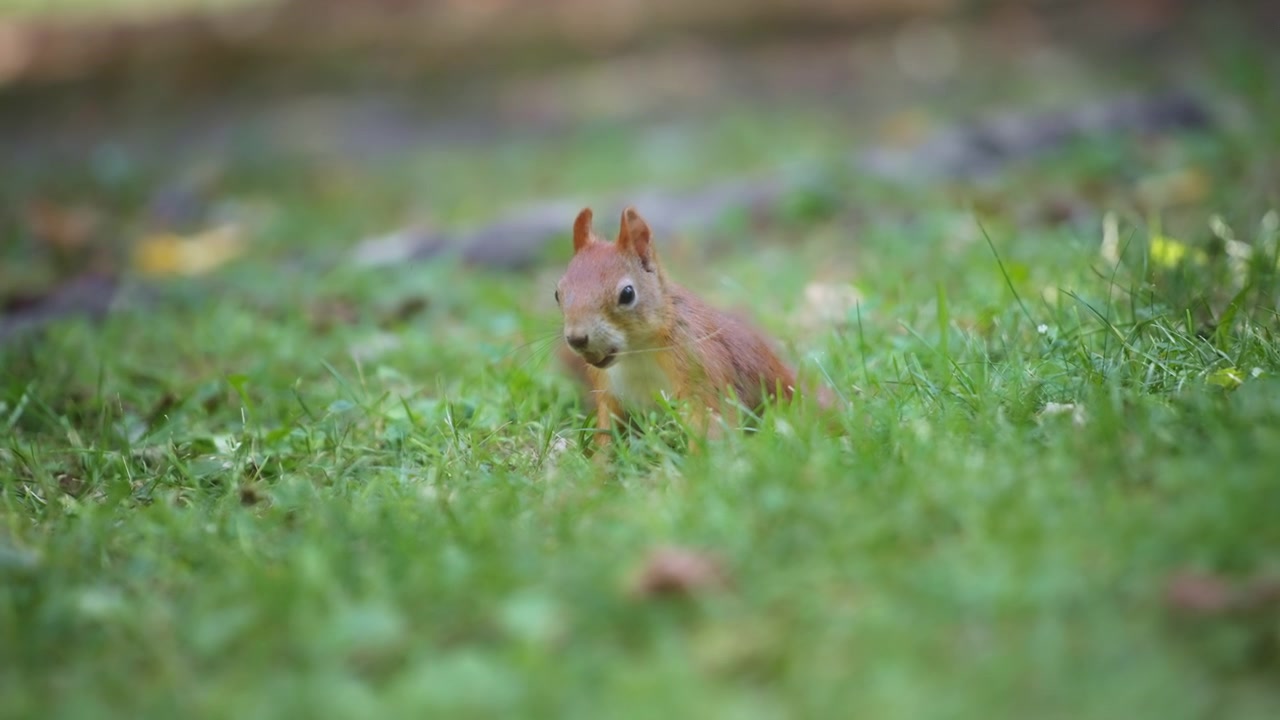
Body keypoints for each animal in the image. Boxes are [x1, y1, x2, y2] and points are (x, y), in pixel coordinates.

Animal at [553, 205, 836, 454]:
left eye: (627, 294)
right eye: (557, 293)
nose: (577, 338)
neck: (638, 351)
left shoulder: (700, 364)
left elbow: (711, 422)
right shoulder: (608, 391)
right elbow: (608, 433)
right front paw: (598, 469)